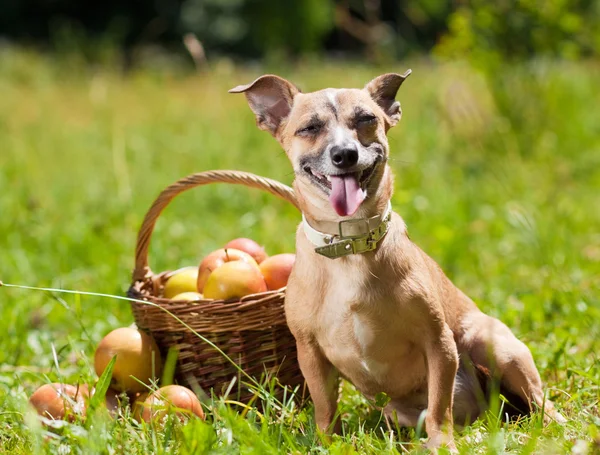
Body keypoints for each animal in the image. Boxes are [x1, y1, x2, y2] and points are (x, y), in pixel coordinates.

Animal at [229, 71, 564, 452]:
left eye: (366, 119)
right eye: (310, 127)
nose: (345, 153)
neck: (350, 244)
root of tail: (488, 409)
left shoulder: (438, 343)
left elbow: (439, 406)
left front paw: (442, 444)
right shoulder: (309, 352)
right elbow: (325, 408)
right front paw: (328, 442)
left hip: (490, 343)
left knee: (539, 402)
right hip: (397, 409)